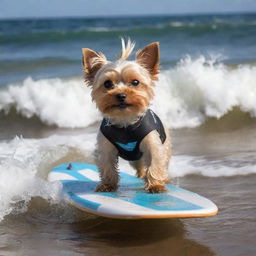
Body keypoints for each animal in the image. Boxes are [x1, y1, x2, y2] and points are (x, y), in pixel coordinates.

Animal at [82, 39, 172, 193]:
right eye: (107, 84)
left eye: (135, 82)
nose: (121, 95)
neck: (125, 120)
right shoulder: (105, 147)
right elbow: (107, 166)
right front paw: (108, 185)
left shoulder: (153, 144)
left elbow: (155, 163)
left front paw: (155, 185)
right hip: (135, 159)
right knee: (140, 165)